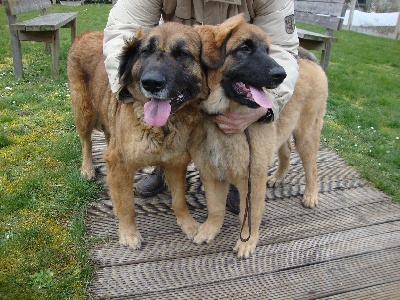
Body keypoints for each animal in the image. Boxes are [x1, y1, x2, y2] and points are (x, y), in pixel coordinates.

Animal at [67, 22, 208, 248]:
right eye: (145, 51)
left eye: (182, 54)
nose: (151, 83)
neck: (163, 127)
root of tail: (86, 33)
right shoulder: (120, 165)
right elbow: (126, 204)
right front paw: (128, 233)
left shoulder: (176, 163)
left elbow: (179, 200)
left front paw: (189, 224)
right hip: (84, 112)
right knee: (86, 142)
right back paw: (87, 168)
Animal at [188, 14, 328, 258]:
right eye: (244, 48)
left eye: (267, 50)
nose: (281, 75)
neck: (219, 117)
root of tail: (311, 64)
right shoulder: (211, 173)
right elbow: (215, 208)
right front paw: (209, 230)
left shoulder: (253, 177)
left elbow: (251, 214)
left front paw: (247, 242)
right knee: (286, 152)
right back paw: (278, 177)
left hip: (306, 134)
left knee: (311, 167)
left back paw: (311, 195)